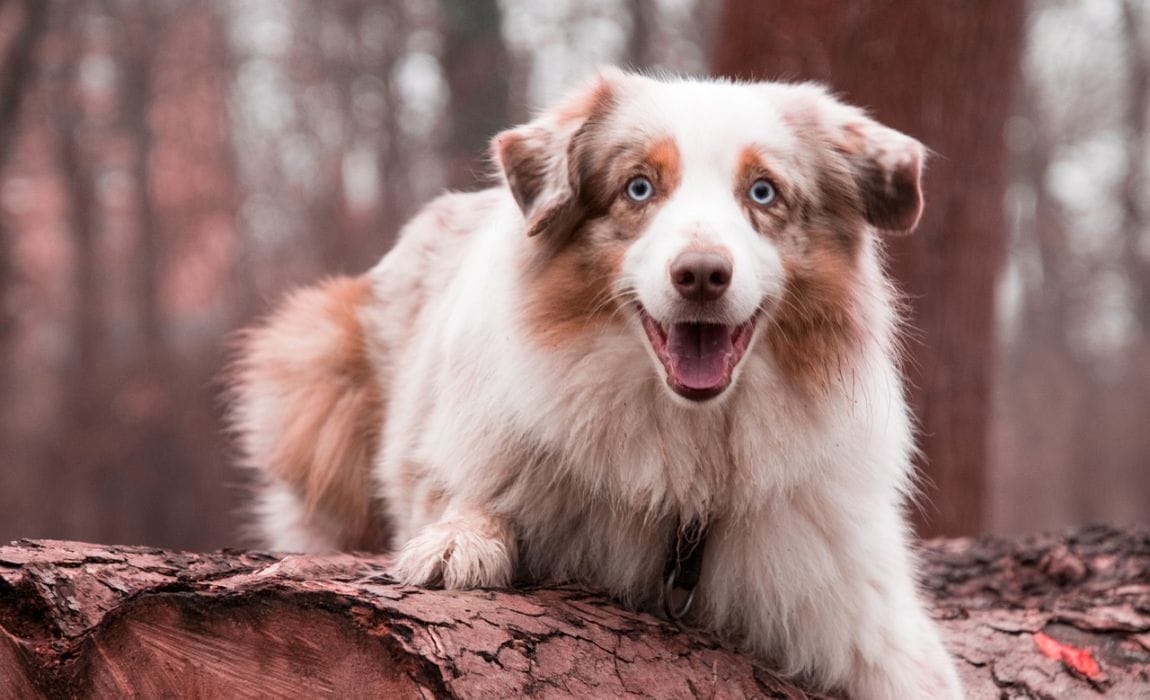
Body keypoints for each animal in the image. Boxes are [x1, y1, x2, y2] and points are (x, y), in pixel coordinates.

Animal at [224, 68, 961, 694]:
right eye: (639, 187)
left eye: (763, 192)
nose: (701, 274)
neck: (688, 450)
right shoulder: (462, 451)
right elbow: (469, 494)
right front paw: (458, 542)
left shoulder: (865, 618)